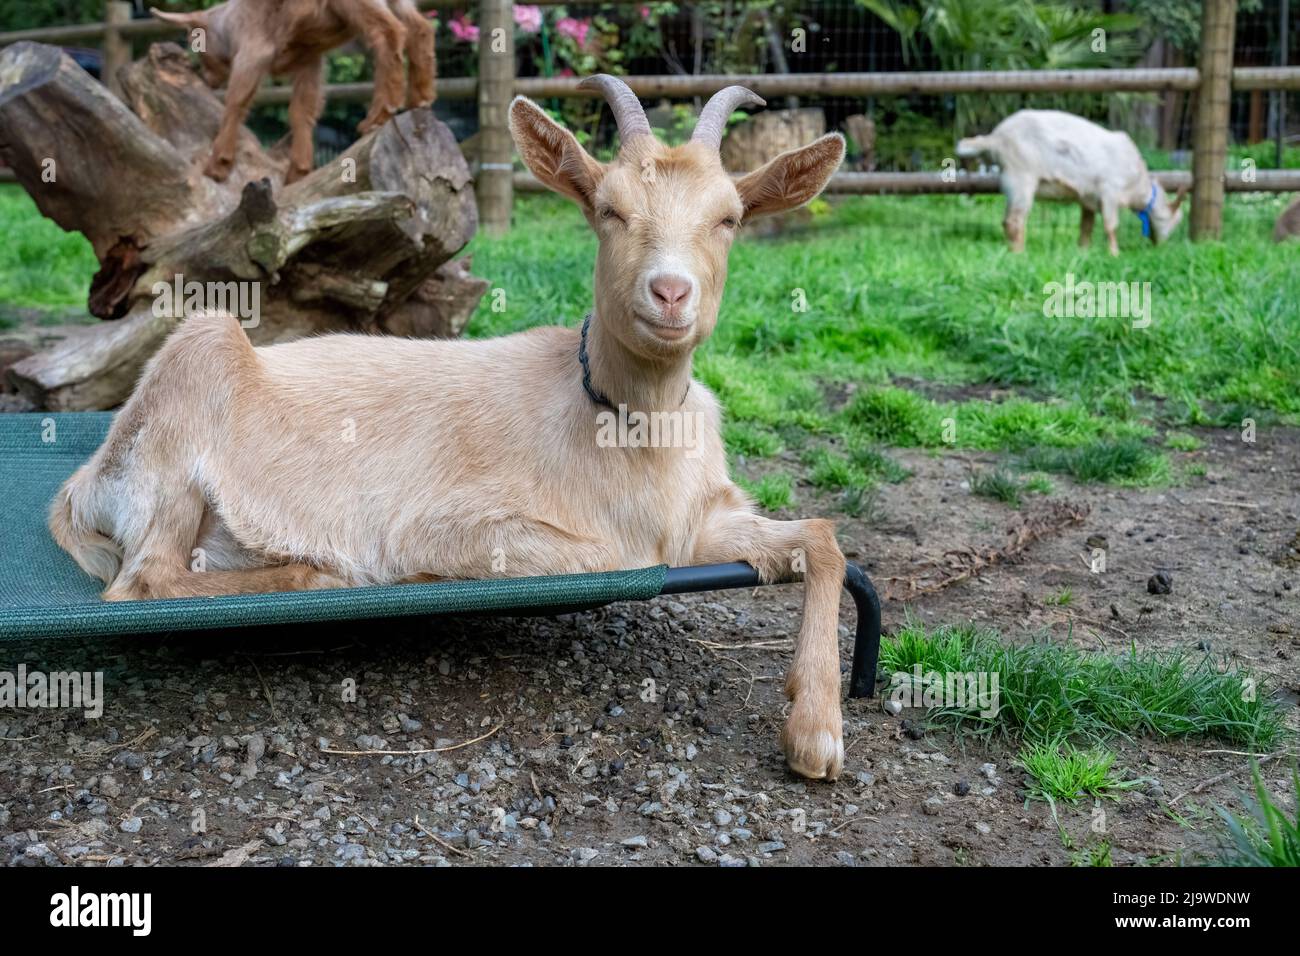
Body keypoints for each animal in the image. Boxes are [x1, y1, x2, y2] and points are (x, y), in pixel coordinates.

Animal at [49, 76, 849, 780]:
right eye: (608, 209)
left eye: (730, 218)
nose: (671, 293)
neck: (621, 426)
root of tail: (77, 488)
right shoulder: (442, 526)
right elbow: (597, 556)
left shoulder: (697, 523)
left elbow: (822, 537)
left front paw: (815, 736)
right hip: (198, 367)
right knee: (143, 580)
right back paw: (317, 573)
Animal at [150, 1, 436, 183]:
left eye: (195, 41)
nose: (208, 80)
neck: (230, 24)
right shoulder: (310, 59)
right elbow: (302, 110)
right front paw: (297, 171)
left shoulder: (253, 50)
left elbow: (236, 101)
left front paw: (217, 165)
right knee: (420, 27)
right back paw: (419, 99)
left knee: (389, 31)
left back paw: (378, 115)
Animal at [957, 109, 1186, 255]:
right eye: (1173, 220)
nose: (1159, 246)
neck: (1137, 184)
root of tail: (996, 138)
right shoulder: (1109, 191)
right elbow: (1111, 226)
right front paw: (1114, 253)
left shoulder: (1089, 199)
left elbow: (1086, 226)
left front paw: (1083, 250)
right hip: (1021, 177)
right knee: (1014, 220)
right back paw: (1020, 253)